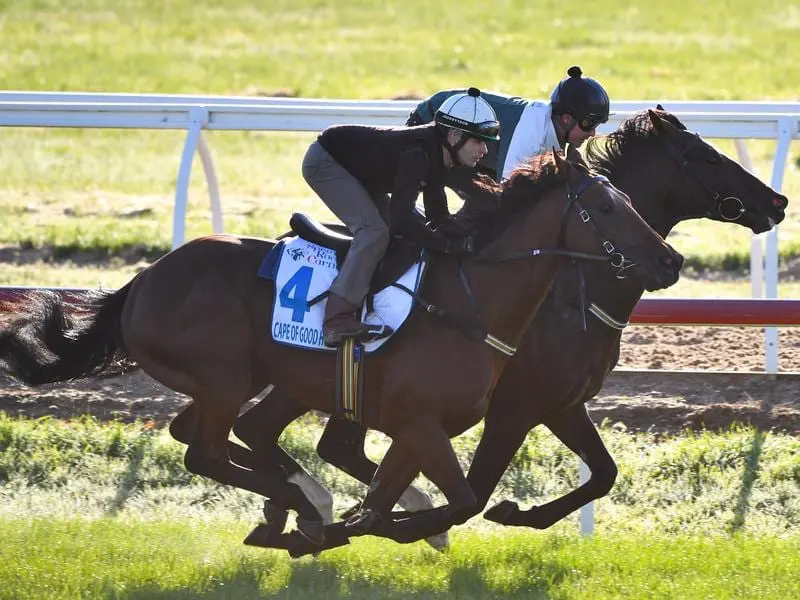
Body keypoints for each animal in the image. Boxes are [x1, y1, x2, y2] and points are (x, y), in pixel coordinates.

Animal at [0, 146, 680, 552]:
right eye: (601, 206)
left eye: (626, 200)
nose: (670, 261)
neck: (470, 303)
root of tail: (141, 281)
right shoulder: (433, 421)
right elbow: (460, 499)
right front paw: (380, 524)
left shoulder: (424, 428)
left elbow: (406, 494)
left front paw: (375, 521)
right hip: (225, 377)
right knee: (206, 451)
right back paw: (303, 505)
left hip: (253, 378)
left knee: (213, 435)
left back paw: (301, 509)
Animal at [183, 109, 788, 552]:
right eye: (704, 156)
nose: (778, 201)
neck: (570, 288)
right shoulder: (515, 406)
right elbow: (476, 487)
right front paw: (430, 517)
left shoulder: (562, 403)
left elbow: (603, 473)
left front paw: (515, 512)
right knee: (284, 436)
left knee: (259, 431)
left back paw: (300, 509)